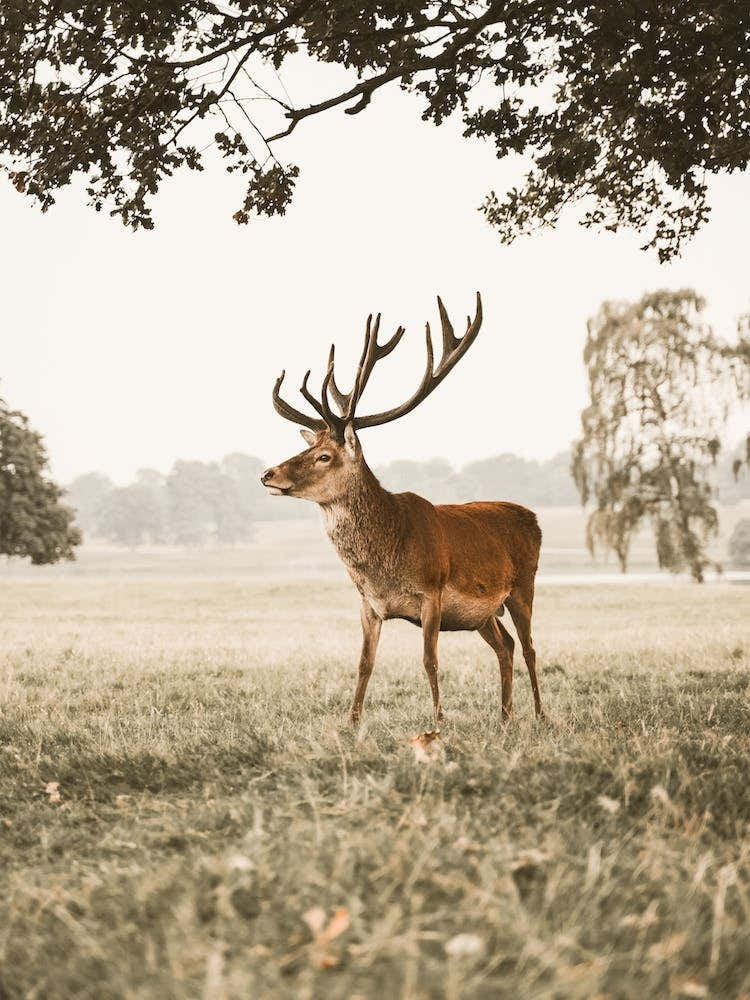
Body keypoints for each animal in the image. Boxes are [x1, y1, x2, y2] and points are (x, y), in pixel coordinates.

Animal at [261, 293, 543, 726]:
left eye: (324, 456)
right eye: (307, 448)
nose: (268, 473)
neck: (386, 563)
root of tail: (533, 518)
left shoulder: (432, 593)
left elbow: (429, 660)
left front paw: (439, 721)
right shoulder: (369, 605)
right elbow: (364, 663)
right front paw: (351, 722)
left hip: (523, 585)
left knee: (529, 647)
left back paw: (541, 715)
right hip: (483, 614)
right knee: (506, 645)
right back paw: (505, 716)